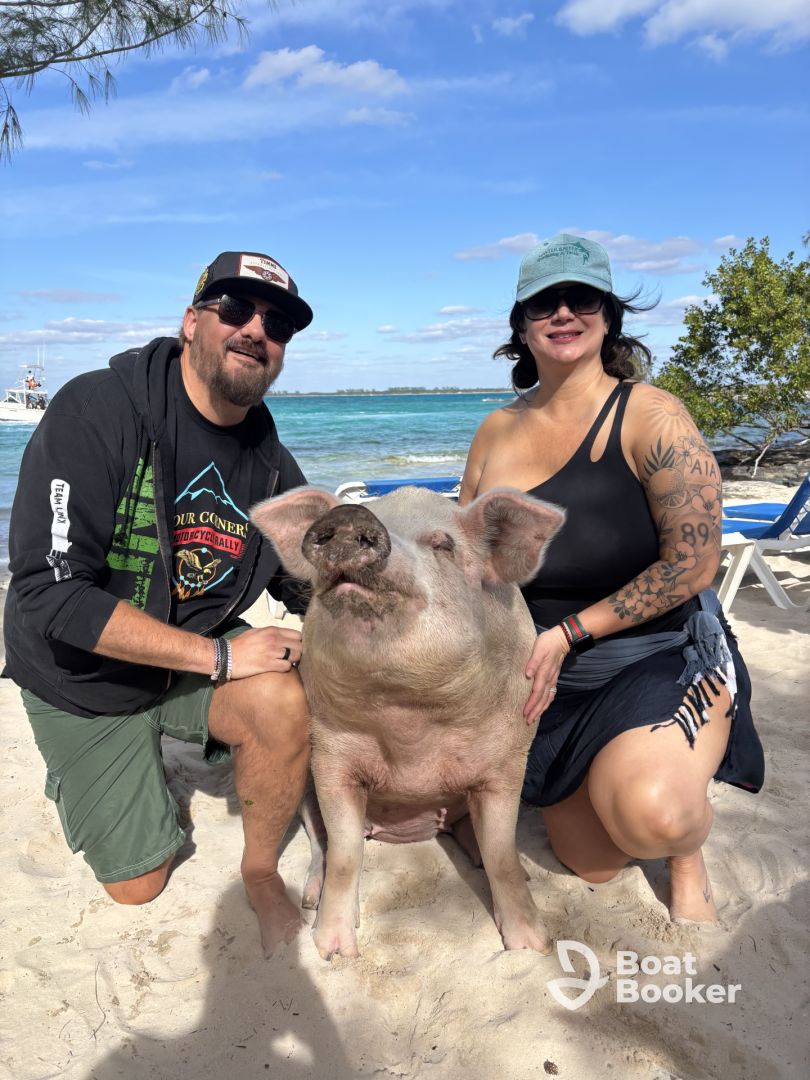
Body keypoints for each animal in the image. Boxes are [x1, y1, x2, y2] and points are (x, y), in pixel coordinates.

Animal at [250, 485, 564, 960]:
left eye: (443, 545)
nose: (349, 516)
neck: (408, 720)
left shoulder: (510, 761)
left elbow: (502, 854)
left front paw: (533, 947)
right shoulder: (330, 760)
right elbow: (344, 855)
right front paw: (333, 951)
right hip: (304, 788)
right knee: (322, 846)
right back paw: (309, 899)